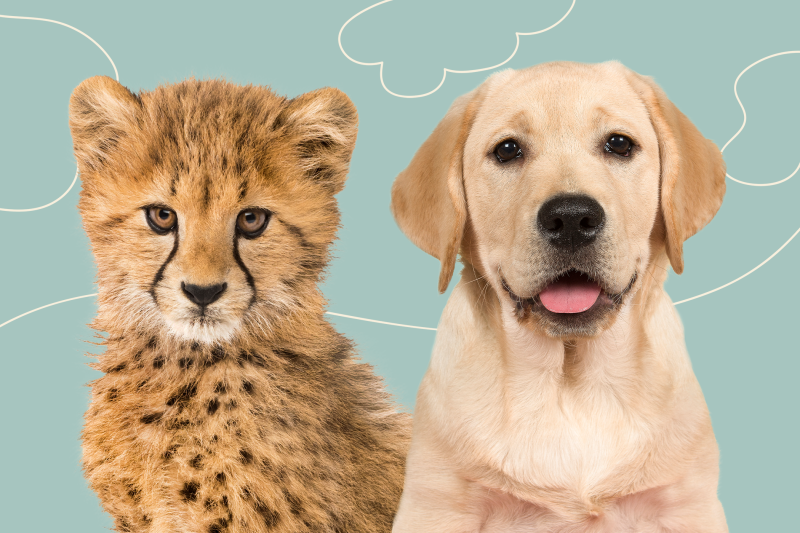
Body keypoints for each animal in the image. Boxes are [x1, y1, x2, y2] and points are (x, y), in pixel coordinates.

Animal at [390, 60, 728, 528]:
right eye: (507, 150)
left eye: (619, 144)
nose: (570, 218)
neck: (569, 383)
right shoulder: (437, 503)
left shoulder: (687, 504)